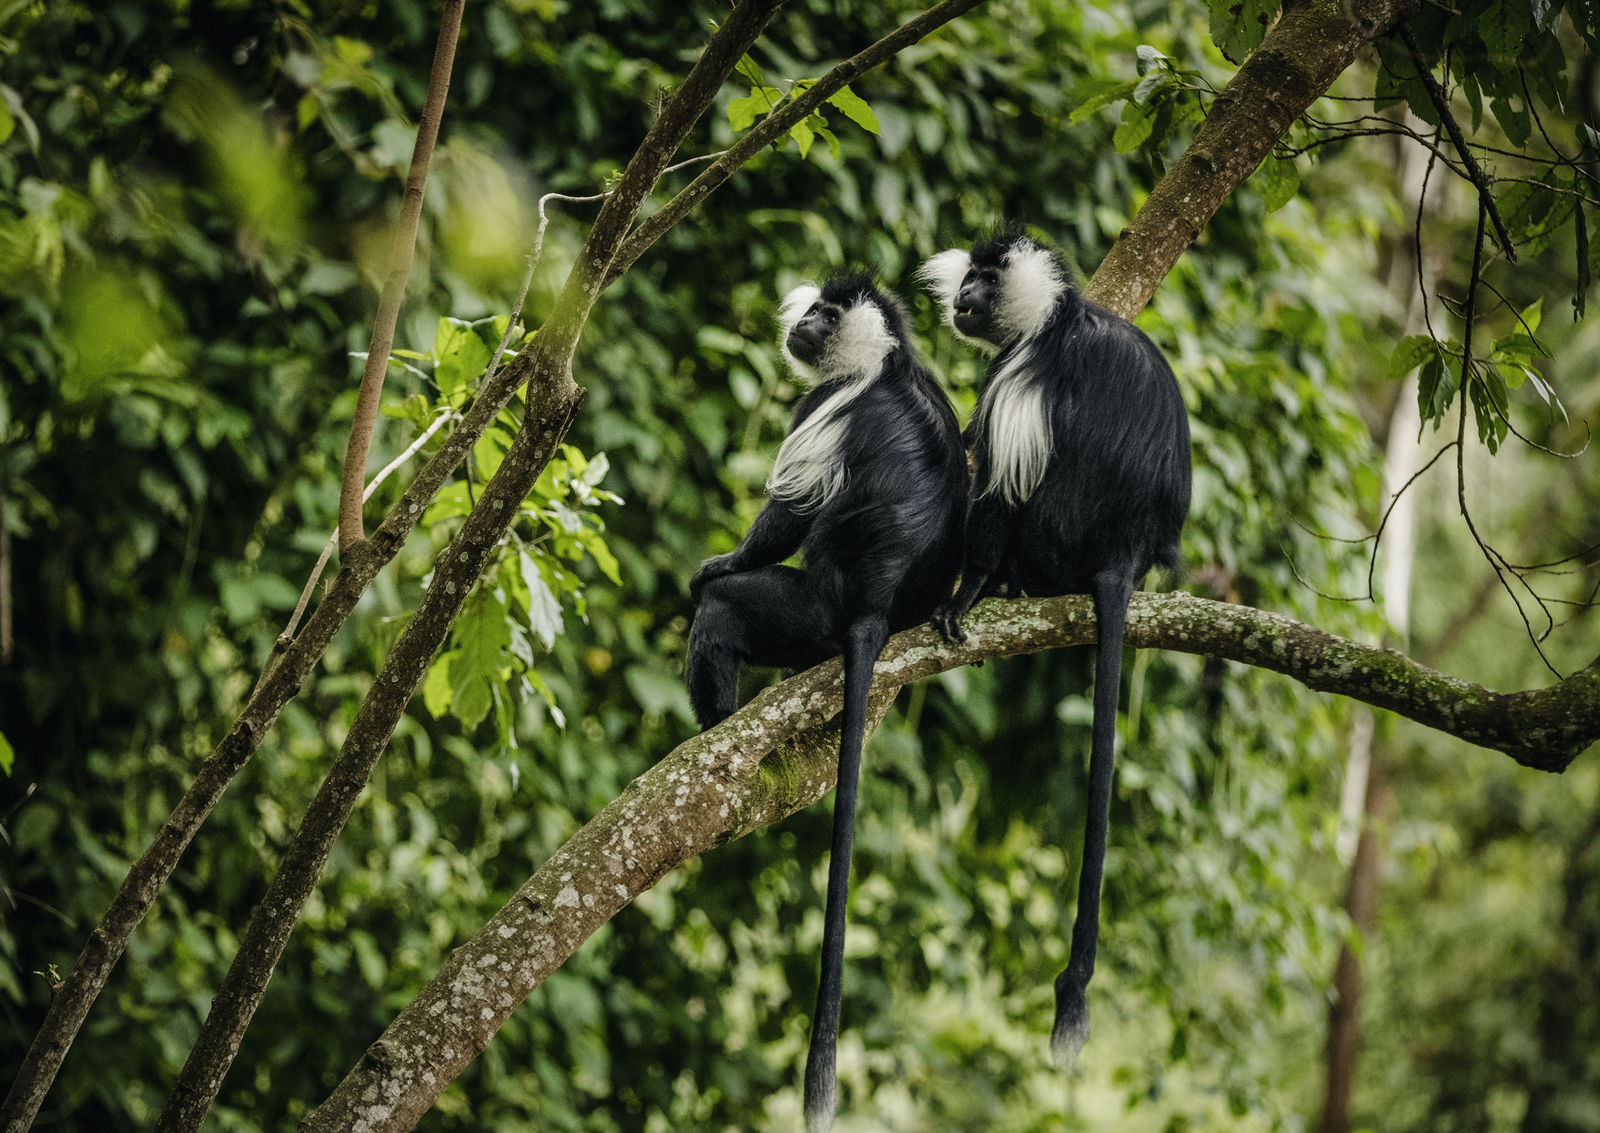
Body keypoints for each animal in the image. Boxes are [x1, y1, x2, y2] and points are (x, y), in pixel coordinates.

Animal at [686, 273, 968, 1132]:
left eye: (827, 315)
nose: (804, 322)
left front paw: (719, 561)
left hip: (806, 608)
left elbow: (786, 516)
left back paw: (713, 729)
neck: (885, 359)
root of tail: (873, 603)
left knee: (728, 612)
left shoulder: (825, 405)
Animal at [918, 228, 1191, 1068]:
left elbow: (999, 489)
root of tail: (1123, 551)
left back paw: (1000, 585)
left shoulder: (1021, 375)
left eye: (982, 279)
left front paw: (964, 594)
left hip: (1054, 536)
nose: (961, 298)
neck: (1055, 317)